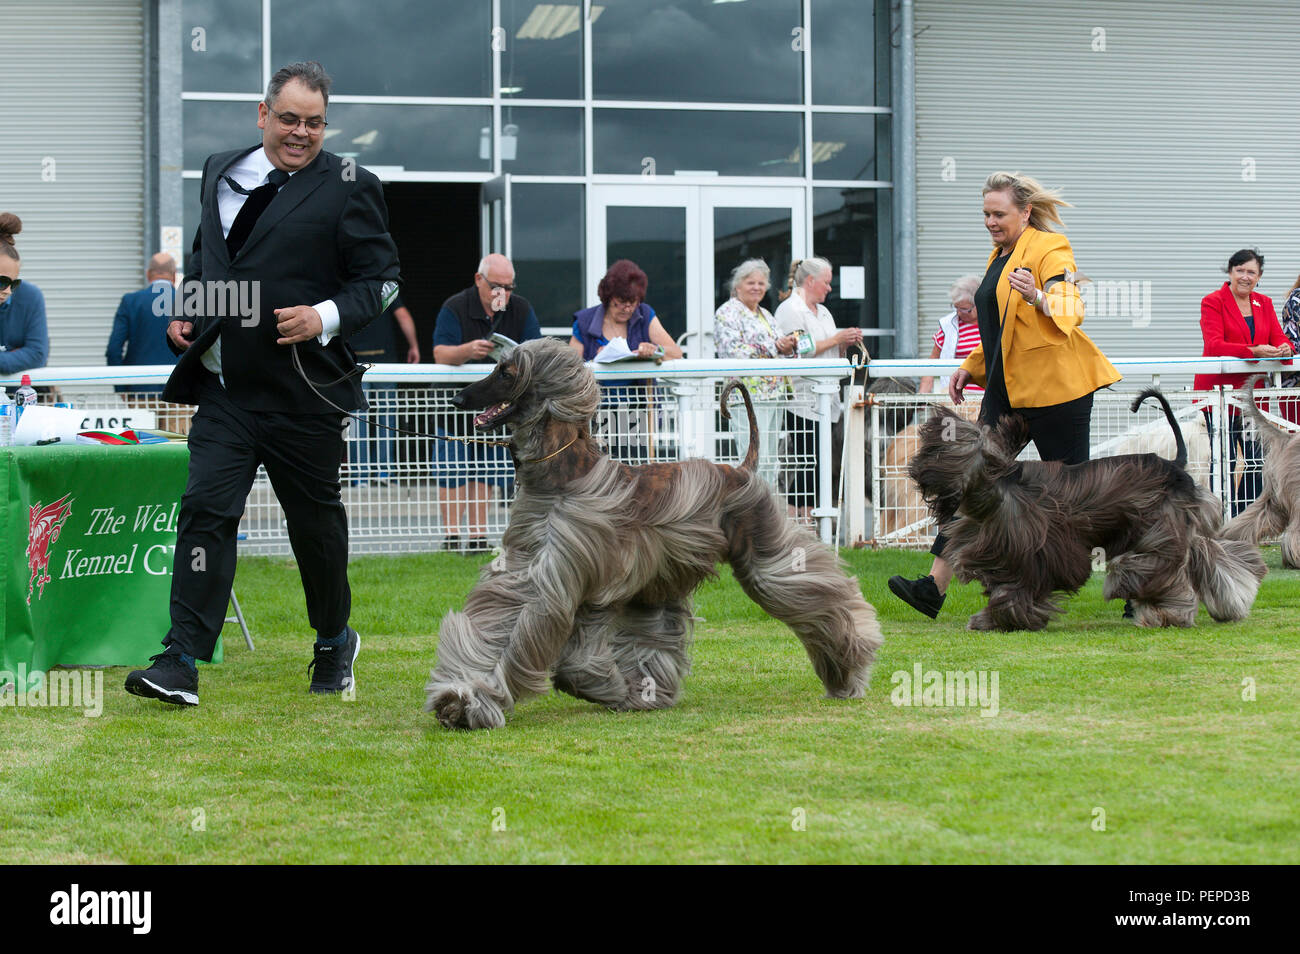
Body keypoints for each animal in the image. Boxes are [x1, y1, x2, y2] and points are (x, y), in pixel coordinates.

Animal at [426, 337, 883, 733]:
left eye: (506, 372)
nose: (457, 400)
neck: (562, 476)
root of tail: (742, 469)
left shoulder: (571, 578)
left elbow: (547, 647)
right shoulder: (530, 571)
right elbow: (499, 625)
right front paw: (460, 699)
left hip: (763, 555)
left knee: (821, 596)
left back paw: (848, 670)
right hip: (660, 582)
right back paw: (647, 693)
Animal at [909, 384, 1263, 631]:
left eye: (939, 448)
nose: (914, 468)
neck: (998, 485)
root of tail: (1175, 466)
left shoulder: (1030, 551)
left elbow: (1014, 588)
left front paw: (1000, 619)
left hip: (1159, 531)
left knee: (1159, 571)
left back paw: (1156, 608)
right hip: (1182, 530)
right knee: (1211, 560)